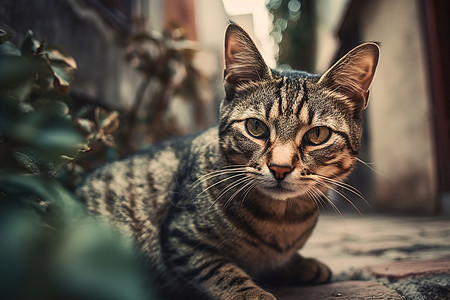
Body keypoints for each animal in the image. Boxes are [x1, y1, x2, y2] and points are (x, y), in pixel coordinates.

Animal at [77, 22, 380, 298]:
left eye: (317, 135)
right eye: (256, 127)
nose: (280, 168)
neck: (282, 220)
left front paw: (302, 264)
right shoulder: (182, 239)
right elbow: (222, 272)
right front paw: (255, 293)